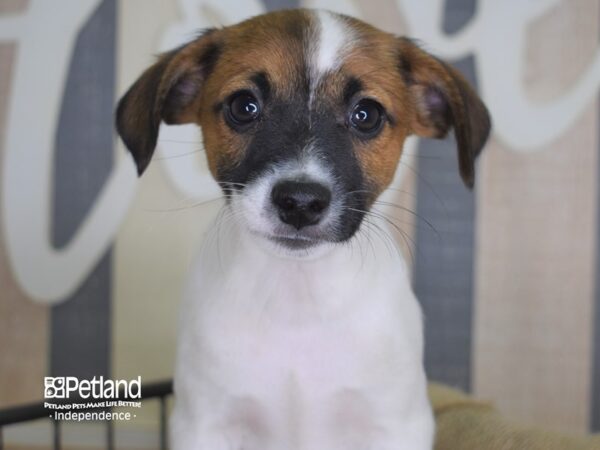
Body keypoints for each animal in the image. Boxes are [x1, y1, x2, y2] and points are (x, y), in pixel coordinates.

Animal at [115, 7, 490, 450]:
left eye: (367, 115)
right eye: (244, 106)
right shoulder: (203, 423)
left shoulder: (396, 424)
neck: (297, 297)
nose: (300, 203)